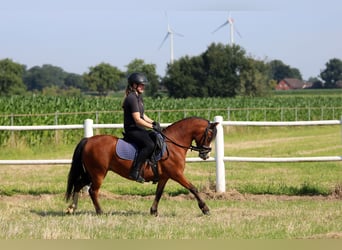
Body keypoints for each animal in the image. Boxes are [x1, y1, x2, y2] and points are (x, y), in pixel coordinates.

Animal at [65, 116, 218, 216]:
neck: (173, 144)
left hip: (90, 173)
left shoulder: (165, 177)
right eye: (209, 135)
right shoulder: (177, 174)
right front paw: (205, 209)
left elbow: (159, 193)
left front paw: (153, 211)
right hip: (98, 173)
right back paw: (99, 211)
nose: (206, 155)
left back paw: (72, 208)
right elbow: (193, 188)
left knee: (78, 185)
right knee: (93, 191)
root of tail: (88, 140)